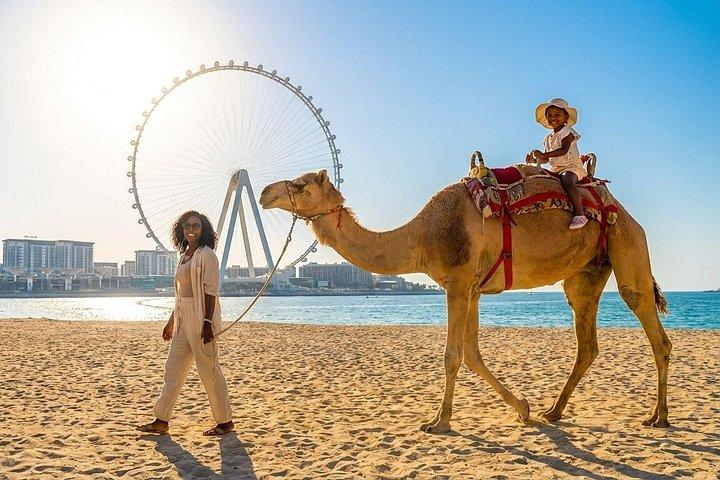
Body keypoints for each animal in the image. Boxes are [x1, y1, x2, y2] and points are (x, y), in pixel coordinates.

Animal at [258, 168, 672, 433]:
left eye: (299, 184)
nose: (265, 193)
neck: (422, 235)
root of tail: (620, 208)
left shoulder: (456, 282)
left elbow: (452, 355)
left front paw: (438, 421)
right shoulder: (471, 287)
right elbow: (472, 353)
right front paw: (523, 409)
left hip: (627, 242)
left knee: (652, 327)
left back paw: (658, 417)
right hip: (586, 274)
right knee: (586, 341)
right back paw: (553, 412)